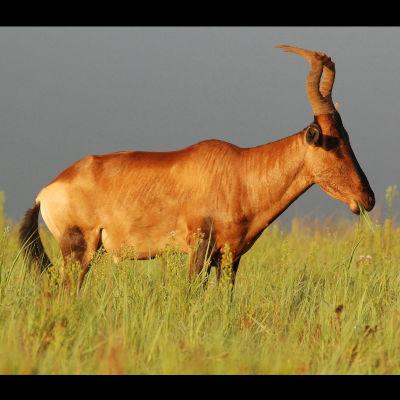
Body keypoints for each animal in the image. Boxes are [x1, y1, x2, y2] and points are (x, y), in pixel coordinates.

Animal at [18, 44, 376, 288]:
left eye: (348, 136)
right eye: (334, 143)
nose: (367, 199)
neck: (239, 172)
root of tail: (46, 192)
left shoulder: (230, 258)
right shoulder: (199, 251)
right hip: (78, 252)